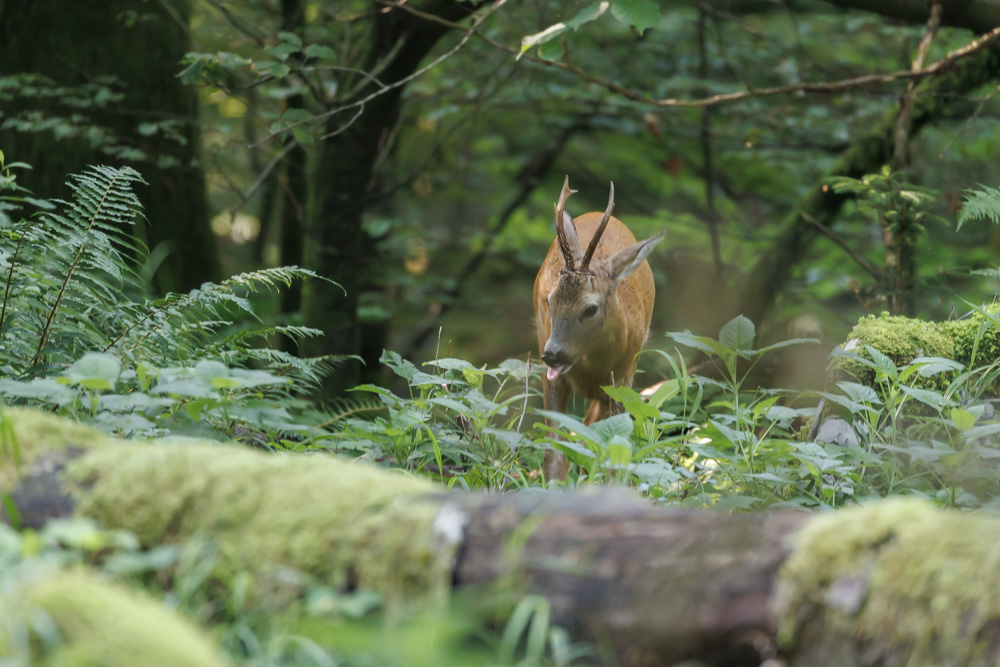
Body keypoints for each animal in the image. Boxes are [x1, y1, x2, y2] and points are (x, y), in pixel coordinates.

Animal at [532, 176, 664, 480]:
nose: (552, 354)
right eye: (550, 300)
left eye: (590, 308)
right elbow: (554, 454)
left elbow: (610, 452)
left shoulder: (623, 379)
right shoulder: (551, 375)